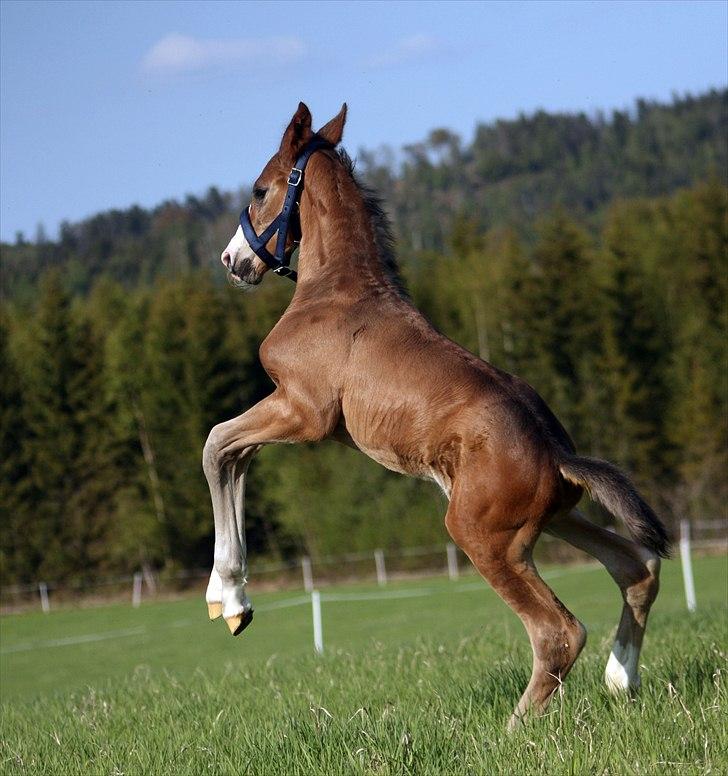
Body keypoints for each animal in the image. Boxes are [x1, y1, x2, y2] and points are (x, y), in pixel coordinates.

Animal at [202, 103, 668, 728]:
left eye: (260, 189)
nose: (233, 260)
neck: (335, 293)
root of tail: (559, 455)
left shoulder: (303, 411)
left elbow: (217, 445)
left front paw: (229, 598)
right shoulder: (291, 412)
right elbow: (235, 455)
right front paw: (231, 599)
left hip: (482, 535)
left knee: (559, 631)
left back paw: (513, 729)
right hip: (554, 519)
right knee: (636, 566)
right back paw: (621, 683)